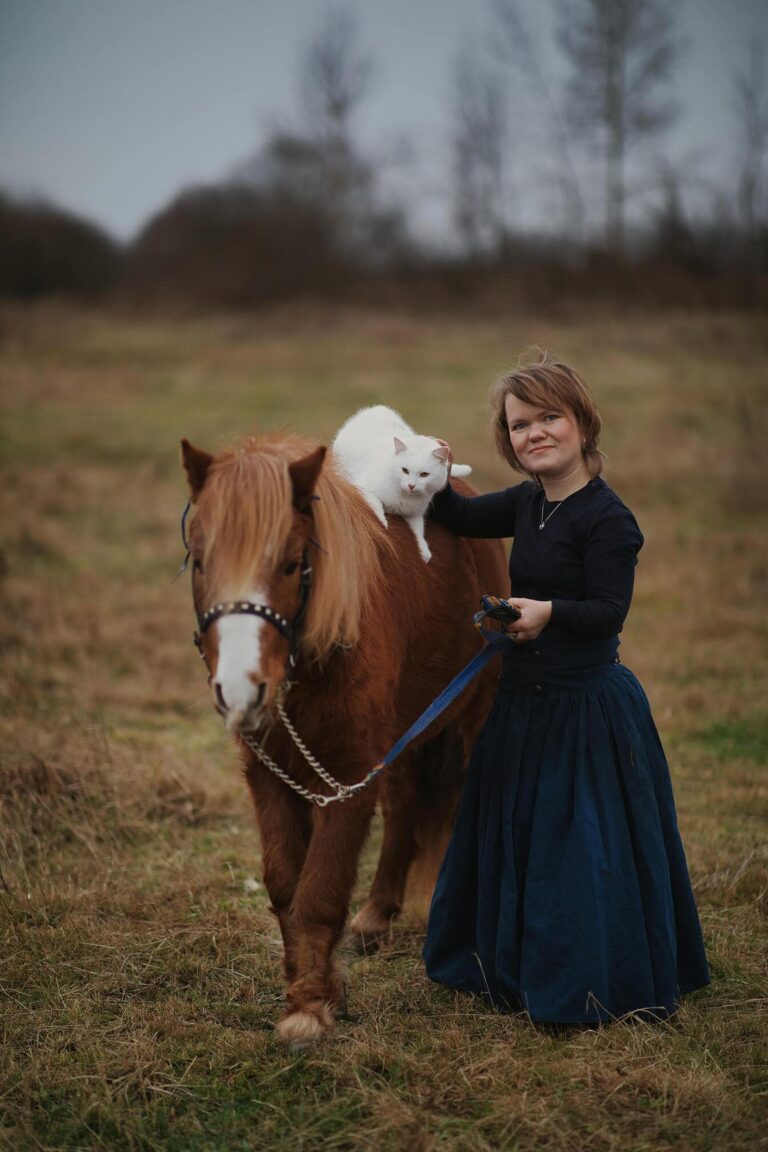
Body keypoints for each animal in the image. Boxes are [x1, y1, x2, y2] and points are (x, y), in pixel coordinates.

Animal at [180, 431, 506, 1044]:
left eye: (291, 564)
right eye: (200, 561)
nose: (239, 689)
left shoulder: (351, 779)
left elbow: (321, 892)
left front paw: (310, 1007)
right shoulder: (270, 774)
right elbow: (286, 887)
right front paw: (310, 989)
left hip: (471, 718)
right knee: (403, 809)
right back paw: (377, 915)